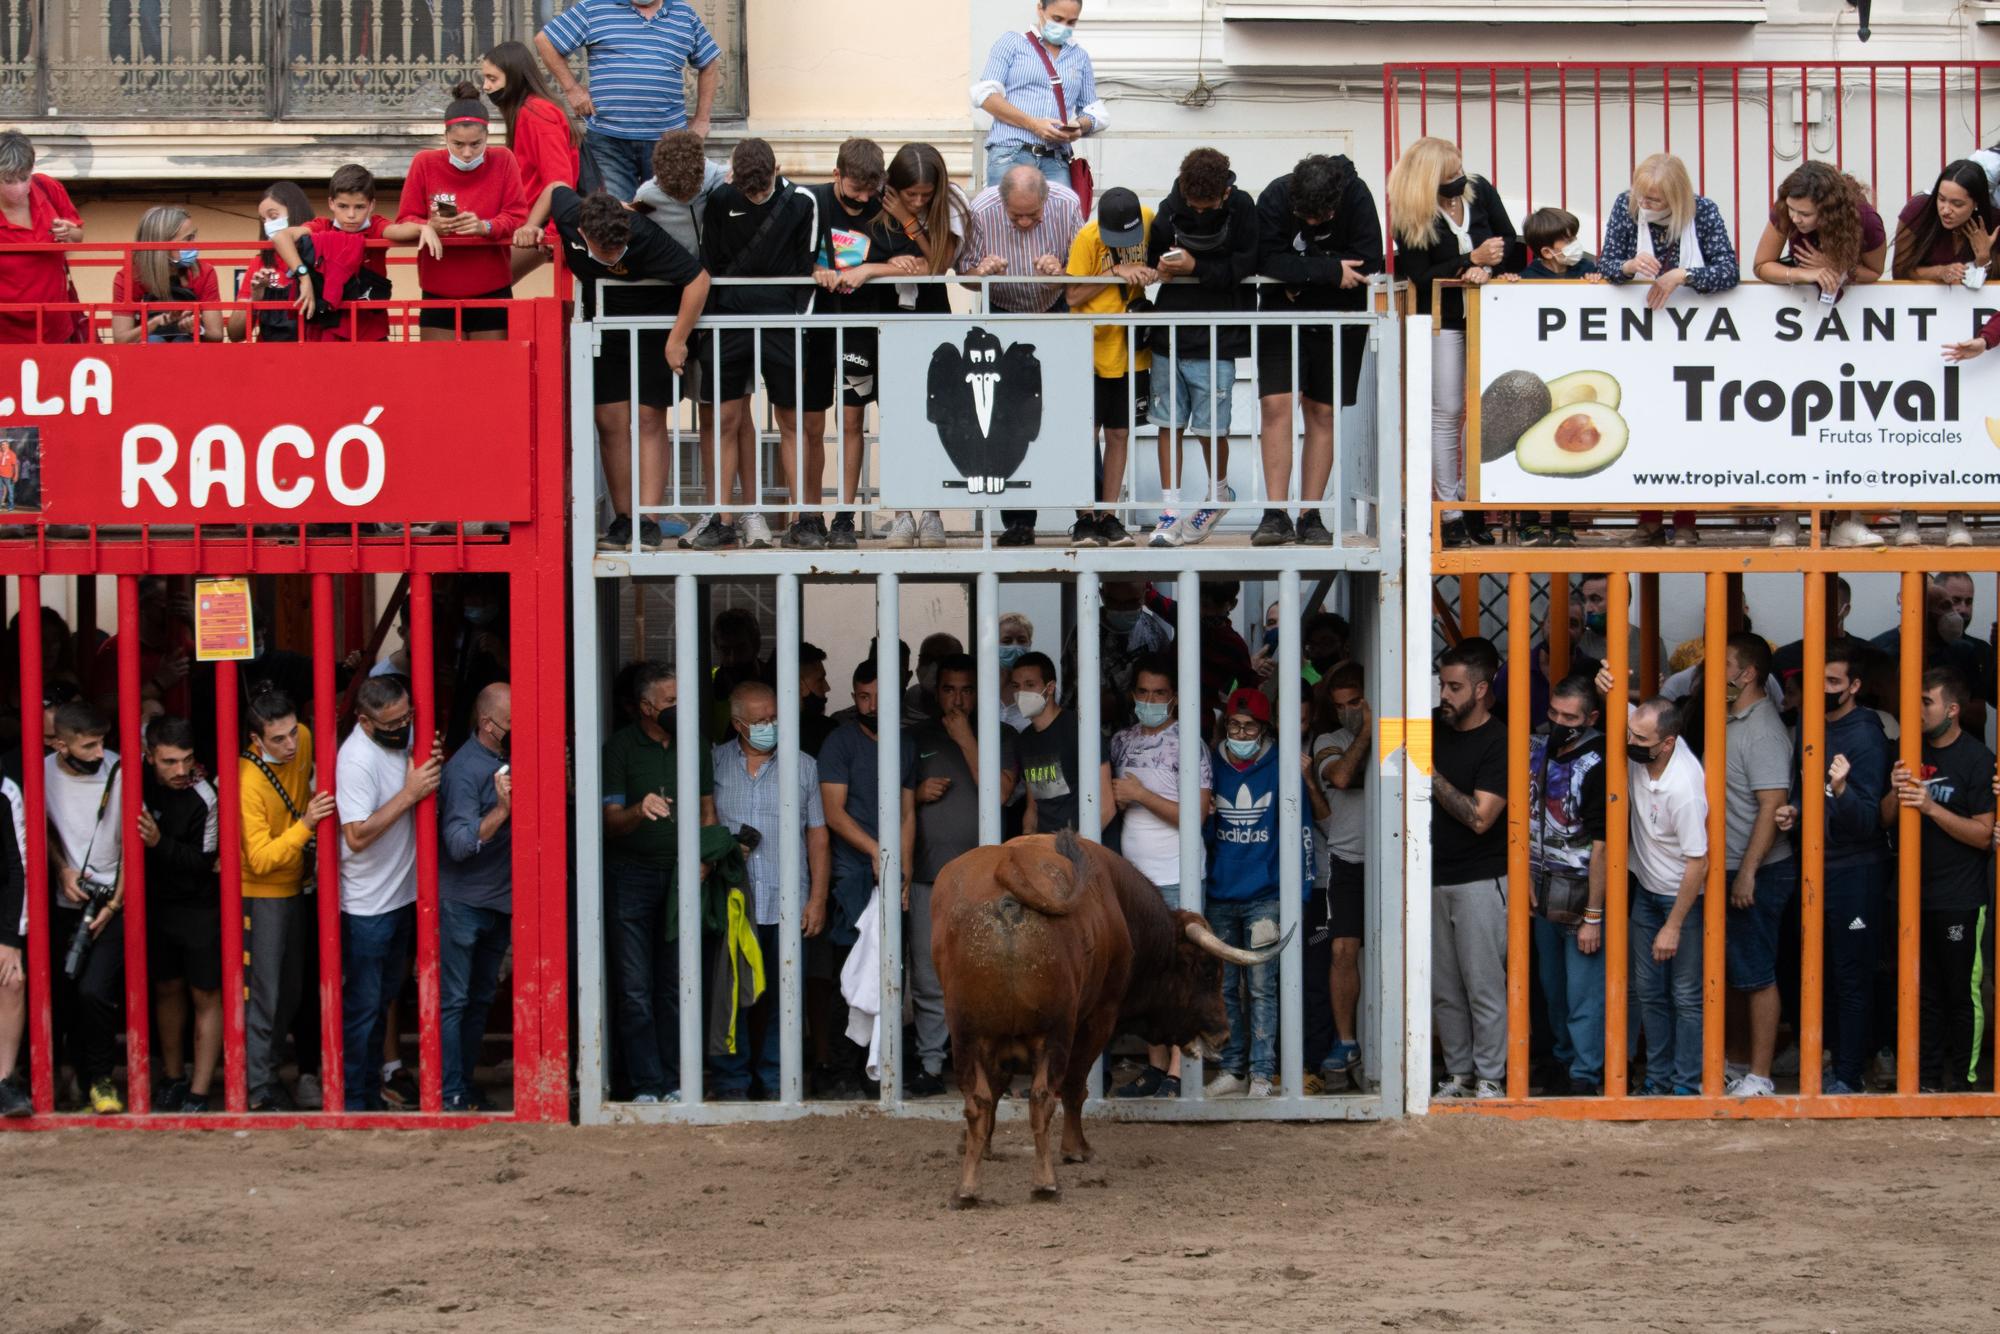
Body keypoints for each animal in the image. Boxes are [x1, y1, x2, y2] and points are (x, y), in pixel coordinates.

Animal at [928, 828, 1288, 1208]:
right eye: (1207, 971)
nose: (1223, 1034)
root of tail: (1007, 873)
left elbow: (995, 1091)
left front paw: (981, 1147)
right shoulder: (1098, 1018)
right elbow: (1075, 1088)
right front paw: (1076, 1149)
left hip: (966, 1034)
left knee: (979, 1100)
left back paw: (967, 1188)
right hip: (1056, 1033)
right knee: (1043, 1097)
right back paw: (1045, 1182)